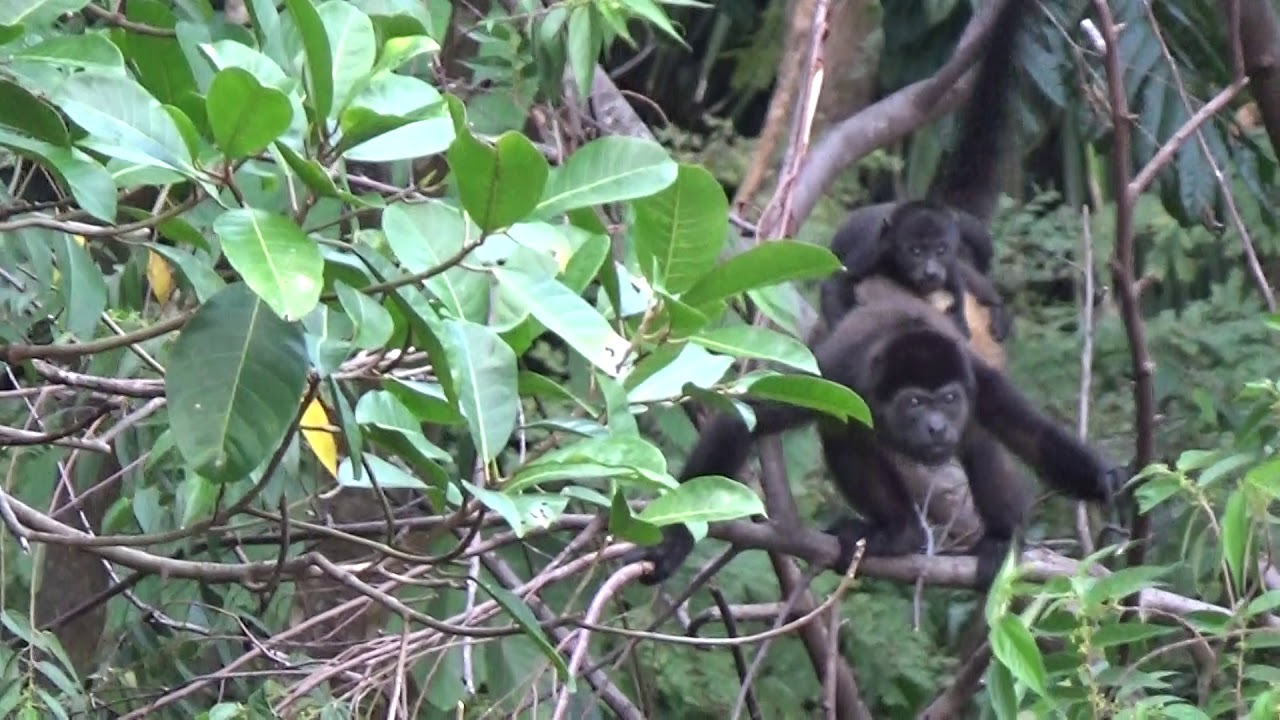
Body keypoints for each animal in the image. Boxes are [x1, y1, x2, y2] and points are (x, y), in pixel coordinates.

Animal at [623, 277, 1120, 587]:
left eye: (948, 398)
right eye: (915, 402)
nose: (937, 425)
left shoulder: (978, 379)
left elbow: (1031, 433)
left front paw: (1101, 479)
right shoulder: (837, 380)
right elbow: (741, 419)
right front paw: (671, 544)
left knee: (979, 441)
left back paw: (999, 536)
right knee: (844, 436)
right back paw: (901, 534)